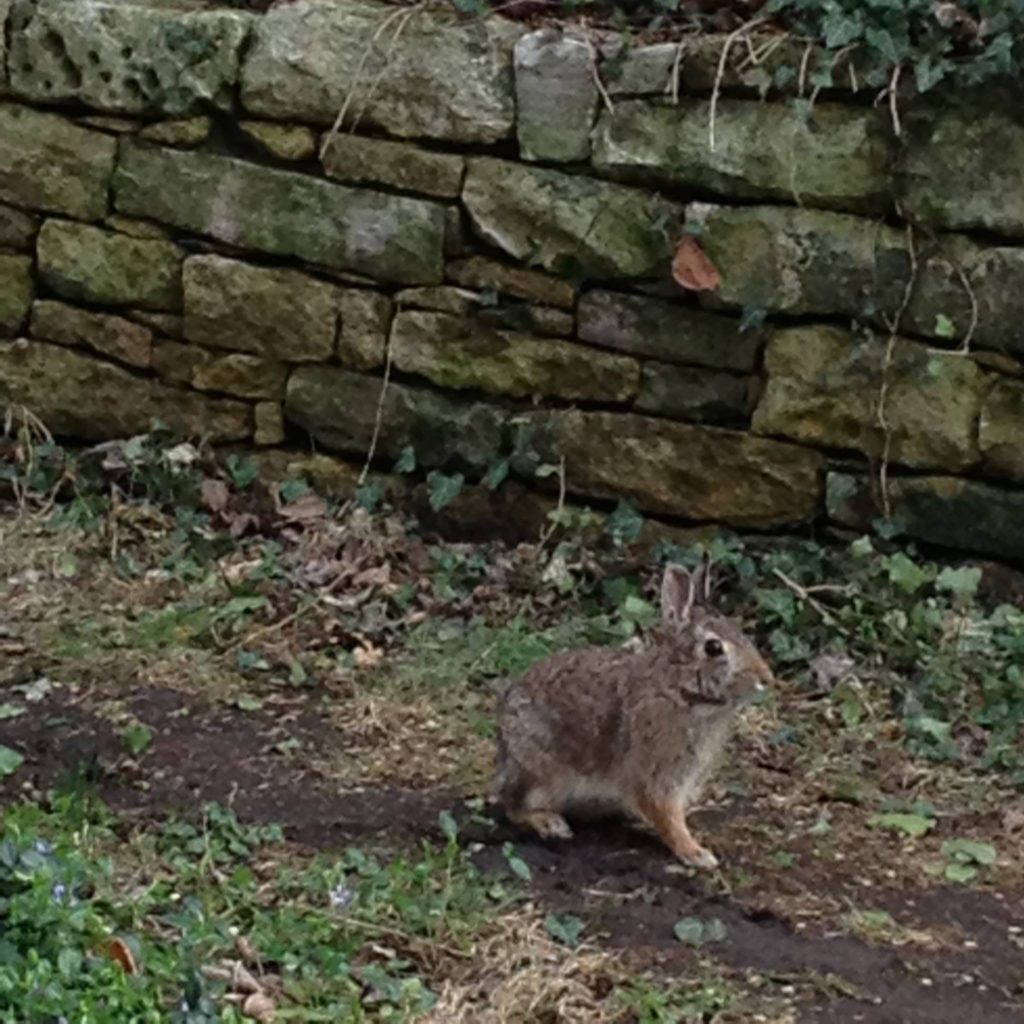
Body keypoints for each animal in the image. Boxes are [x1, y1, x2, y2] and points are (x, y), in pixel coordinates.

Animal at [491, 557, 770, 868]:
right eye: (713, 647)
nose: (765, 678)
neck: (680, 691)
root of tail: (504, 747)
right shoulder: (655, 774)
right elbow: (667, 815)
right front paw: (696, 853)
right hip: (540, 772)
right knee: (514, 806)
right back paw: (550, 823)